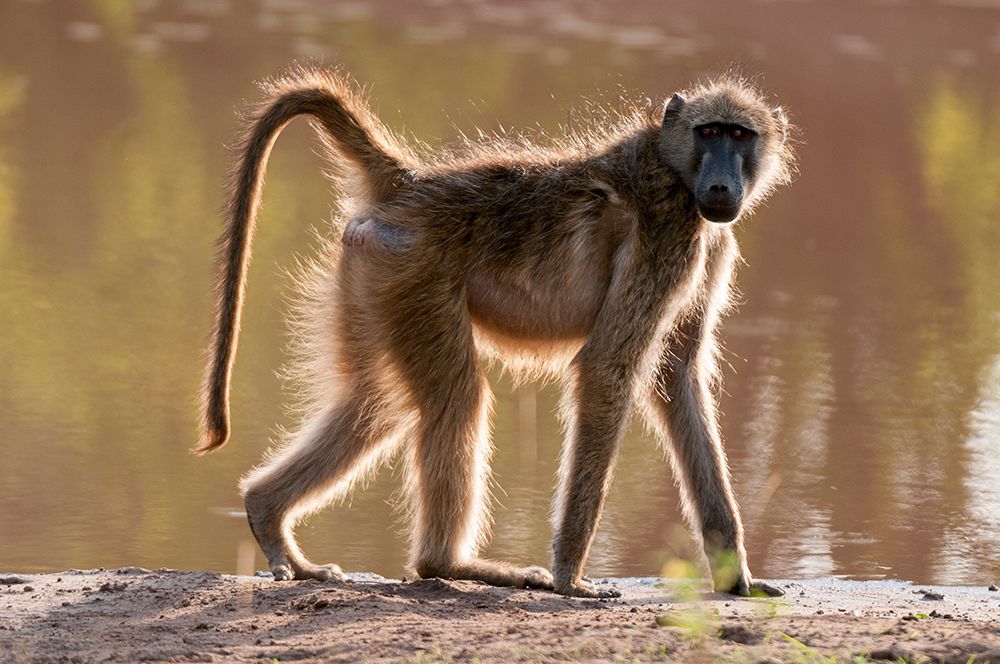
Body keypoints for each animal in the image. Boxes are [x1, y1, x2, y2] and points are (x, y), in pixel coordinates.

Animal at [197, 65, 795, 599]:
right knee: (455, 398)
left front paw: (735, 578)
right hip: (411, 269)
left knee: (377, 405)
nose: (720, 185)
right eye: (708, 133)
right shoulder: (670, 234)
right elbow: (608, 368)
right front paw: (569, 577)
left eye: (740, 135)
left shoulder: (707, 246)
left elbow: (677, 379)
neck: (674, 171)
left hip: (373, 273)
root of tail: (410, 182)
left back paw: (268, 515)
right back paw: (450, 565)